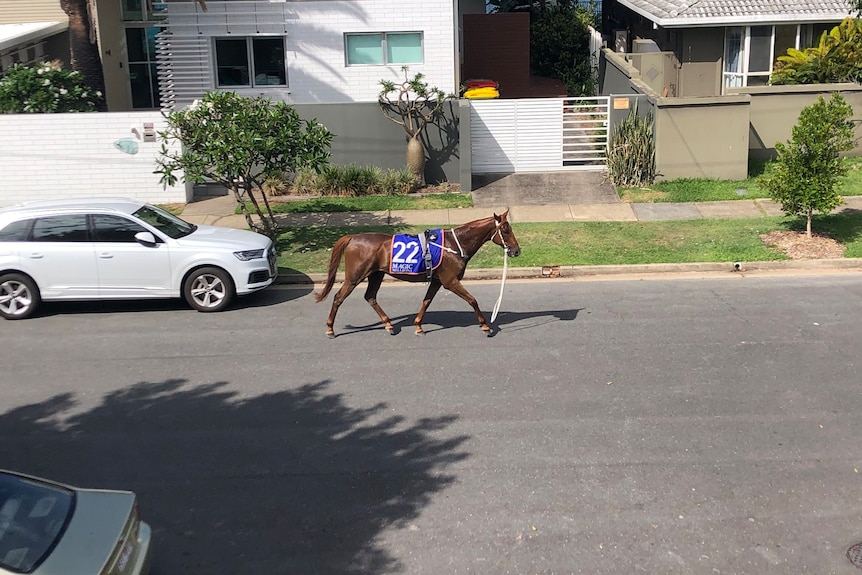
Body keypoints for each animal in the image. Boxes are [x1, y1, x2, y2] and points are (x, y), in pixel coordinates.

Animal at [316, 210, 520, 338]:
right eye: (505, 230)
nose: (517, 251)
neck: (455, 244)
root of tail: (353, 237)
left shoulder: (437, 281)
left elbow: (426, 301)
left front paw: (419, 326)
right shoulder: (450, 281)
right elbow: (472, 300)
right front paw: (485, 325)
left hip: (376, 274)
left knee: (370, 297)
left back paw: (388, 324)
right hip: (354, 277)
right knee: (338, 297)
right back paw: (330, 329)